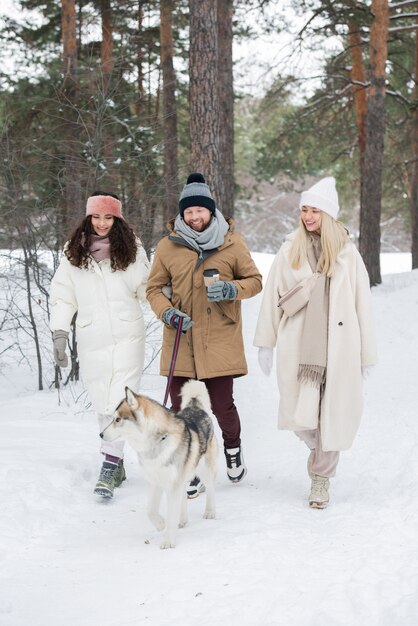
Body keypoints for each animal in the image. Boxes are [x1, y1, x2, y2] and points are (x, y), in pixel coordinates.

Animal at [101, 376, 217, 544]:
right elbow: (150, 511)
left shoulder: (172, 484)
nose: (100, 434)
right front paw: (161, 524)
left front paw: (168, 541)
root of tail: (196, 407)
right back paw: (182, 520)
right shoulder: (155, 482)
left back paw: (210, 512)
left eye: (117, 419)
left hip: (204, 469)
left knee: (210, 488)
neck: (157, 442)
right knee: (183, 496)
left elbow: (170, 513)